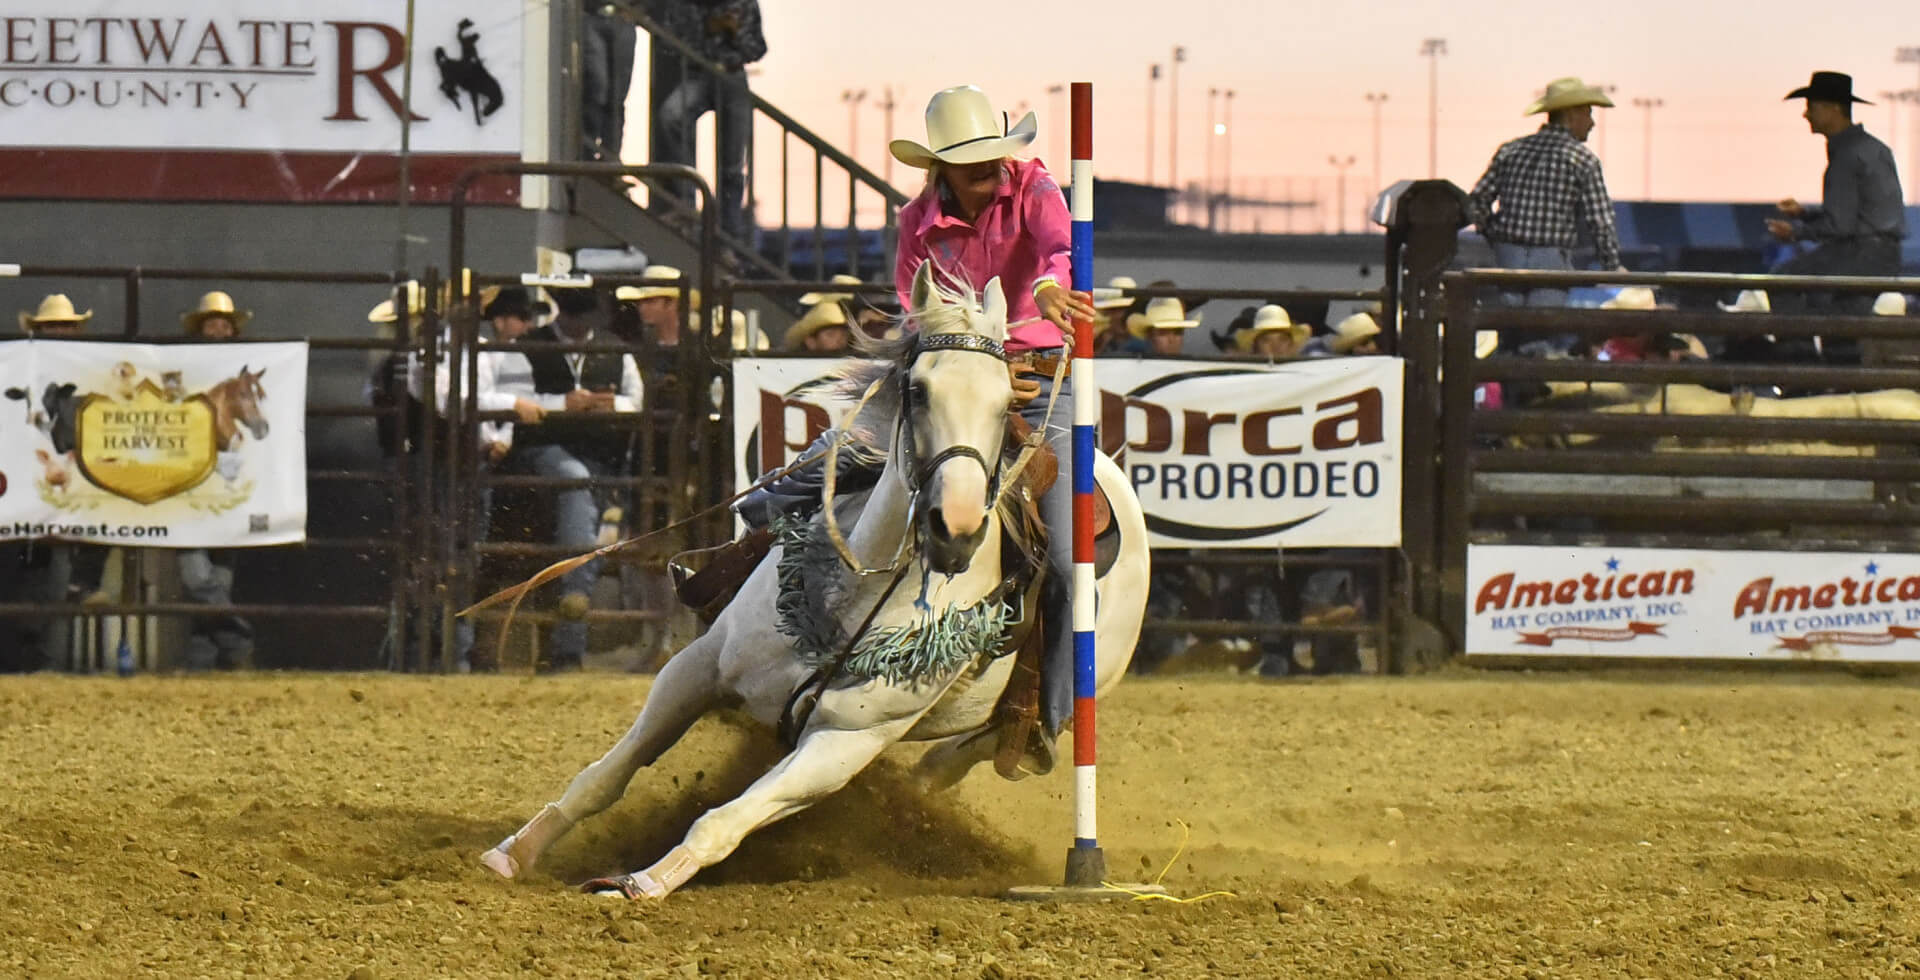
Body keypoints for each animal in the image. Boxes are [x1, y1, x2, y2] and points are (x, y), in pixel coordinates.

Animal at [480, 263, 1144, 899]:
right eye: (918, 389)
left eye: (1006, 400)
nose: (955, 530)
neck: (853, 598)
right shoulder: (698, 667)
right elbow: (603, 778)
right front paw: (512, 855)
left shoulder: (842, 744)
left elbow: (722, 822)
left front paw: (637, 883)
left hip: (1068, 691)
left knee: (999, 742)